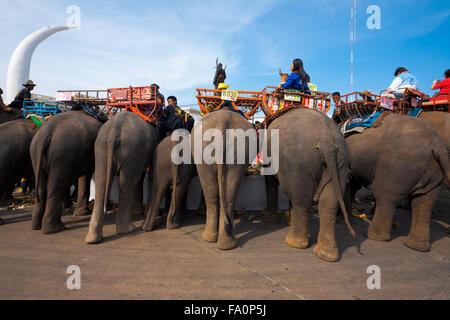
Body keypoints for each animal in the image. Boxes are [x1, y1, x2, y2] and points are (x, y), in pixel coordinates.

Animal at [85, 111, 158, 244]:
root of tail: (115, 129)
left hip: (101, 147)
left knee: (101, 180)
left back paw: (92, 239)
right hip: (132, 149)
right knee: (127, 182)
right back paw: (128, 229)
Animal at [264, 109, 356, 262]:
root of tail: (326, 138)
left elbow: (270, 180)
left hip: (297, 163)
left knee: (302, 199)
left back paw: (294, 243)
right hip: (341, 162)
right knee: (328, 203)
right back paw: (326, 255)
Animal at [344, 114, 450, 251]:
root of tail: (436, 144)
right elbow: (353, 183)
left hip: (396, 167)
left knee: (384, 196)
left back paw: (372, 235)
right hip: (435, 170)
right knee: (423, 202)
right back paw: (416, 246)